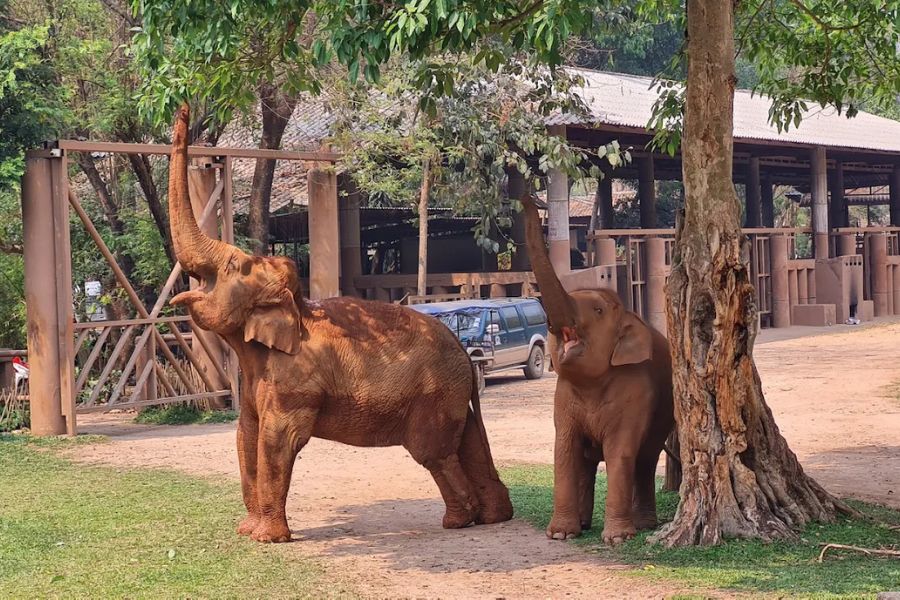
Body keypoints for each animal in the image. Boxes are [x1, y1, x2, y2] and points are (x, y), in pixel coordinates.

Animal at [166, 105, 513, 543]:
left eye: (235, 266)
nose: (184, 109)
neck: (295, 307)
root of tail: (466, 355)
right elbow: (246, 433)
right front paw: (247, 531)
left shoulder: (296, 381)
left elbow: (277, 440)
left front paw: (268, 539)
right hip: (452, 394)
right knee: (467, 442)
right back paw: (495, 517)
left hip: (434, 395)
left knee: (435, 453)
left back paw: (458, 520)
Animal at [520, 193, 674, 545]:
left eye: (599, 310)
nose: (524, 194)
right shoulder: (563, 398)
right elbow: (564, 450)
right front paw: (560, 534)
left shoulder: (636, 391)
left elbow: (620, 451)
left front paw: (617, 538)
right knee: (588, 463)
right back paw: (583, 523)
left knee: (645, 460)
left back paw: (643, 524)